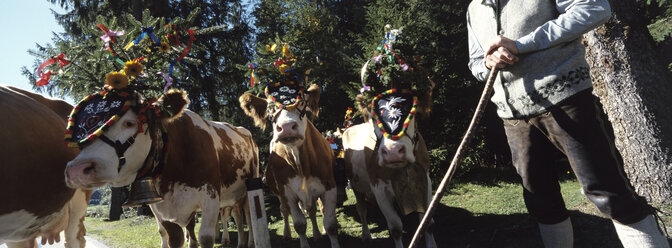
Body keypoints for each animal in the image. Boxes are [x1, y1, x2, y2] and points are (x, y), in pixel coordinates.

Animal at [65, 88, 260, 247]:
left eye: (129, 123)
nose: (76, 170)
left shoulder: (210, 196)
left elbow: (205, 237)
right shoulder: (161, 208)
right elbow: (174, 236)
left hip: (249, 187)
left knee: (249, 216)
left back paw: (249, 242)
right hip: (232, 197)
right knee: (237, 216)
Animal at [239, 83, 342, 248]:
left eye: (302, 102)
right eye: (270, 108)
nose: (287, 127)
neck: (301, 164)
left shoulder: (329, 186)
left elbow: (330, 224)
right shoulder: (287, 192)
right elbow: (299, 224)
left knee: (311, 211)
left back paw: (317, 235)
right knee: (284, 211)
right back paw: (287, 234)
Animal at [344, 90, 438, 248]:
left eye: (414, 114)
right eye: (373, 117)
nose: (393, 151)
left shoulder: (425, 179)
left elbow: (427, 222)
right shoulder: (379, 188)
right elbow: (395, 227)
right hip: (356, 186)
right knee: (362, 209)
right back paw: (366, 235)